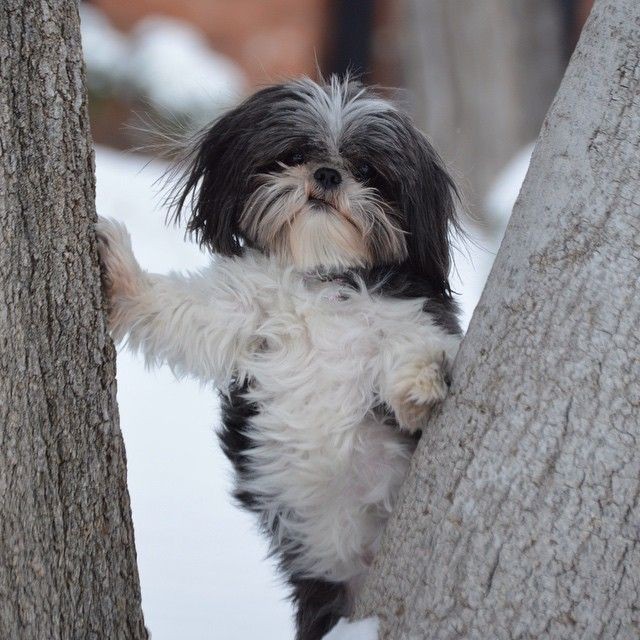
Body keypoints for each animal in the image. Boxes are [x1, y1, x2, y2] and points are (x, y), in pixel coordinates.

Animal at [97, 76, 462, 640]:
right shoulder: (242, 316)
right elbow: (180, 311)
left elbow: (414, 345)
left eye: (368, 172)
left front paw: (422, 382)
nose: (328, 174)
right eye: (293, 155)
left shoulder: (408, 317)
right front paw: (122, 277)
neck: (321, 276)